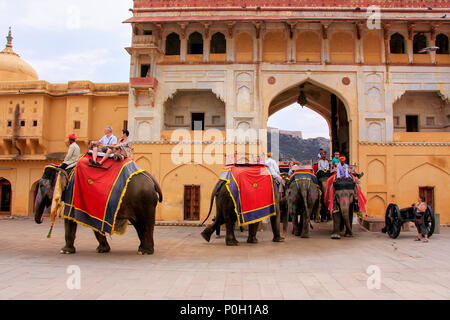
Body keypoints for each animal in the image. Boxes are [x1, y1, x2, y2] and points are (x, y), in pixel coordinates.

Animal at [34, 165, 163, 255]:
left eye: (41, 186)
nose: (41, 219)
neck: (65, 169)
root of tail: (151, 178)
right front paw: (102, 250)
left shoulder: (73, 194)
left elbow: (70, 219)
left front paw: (64, 251)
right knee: (139, 224)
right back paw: (142, 249)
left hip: (145, 201)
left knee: (145, 223)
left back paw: (145, 252)